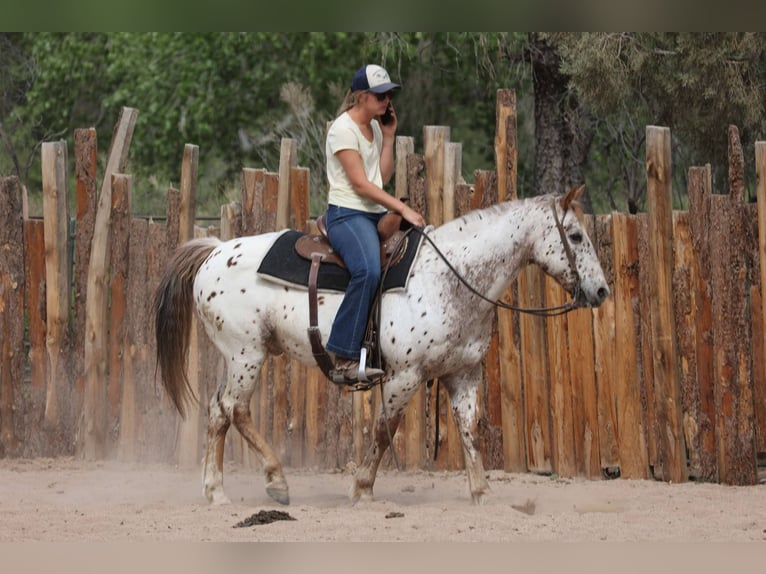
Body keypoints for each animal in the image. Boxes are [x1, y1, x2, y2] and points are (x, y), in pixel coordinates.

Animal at [153, 185, 610, 506]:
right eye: (574, 235)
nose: (602, 291)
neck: (450, 277)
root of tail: (215, 251)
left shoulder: (463, 374)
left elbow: (469, 431)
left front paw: (481, 492)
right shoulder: (404, 376)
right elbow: (383, 429)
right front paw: (362, 488)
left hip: (235, 356)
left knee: (218, 412)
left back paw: (216, 491)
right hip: (246, 353)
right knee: (236, 409)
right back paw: (277, 480)